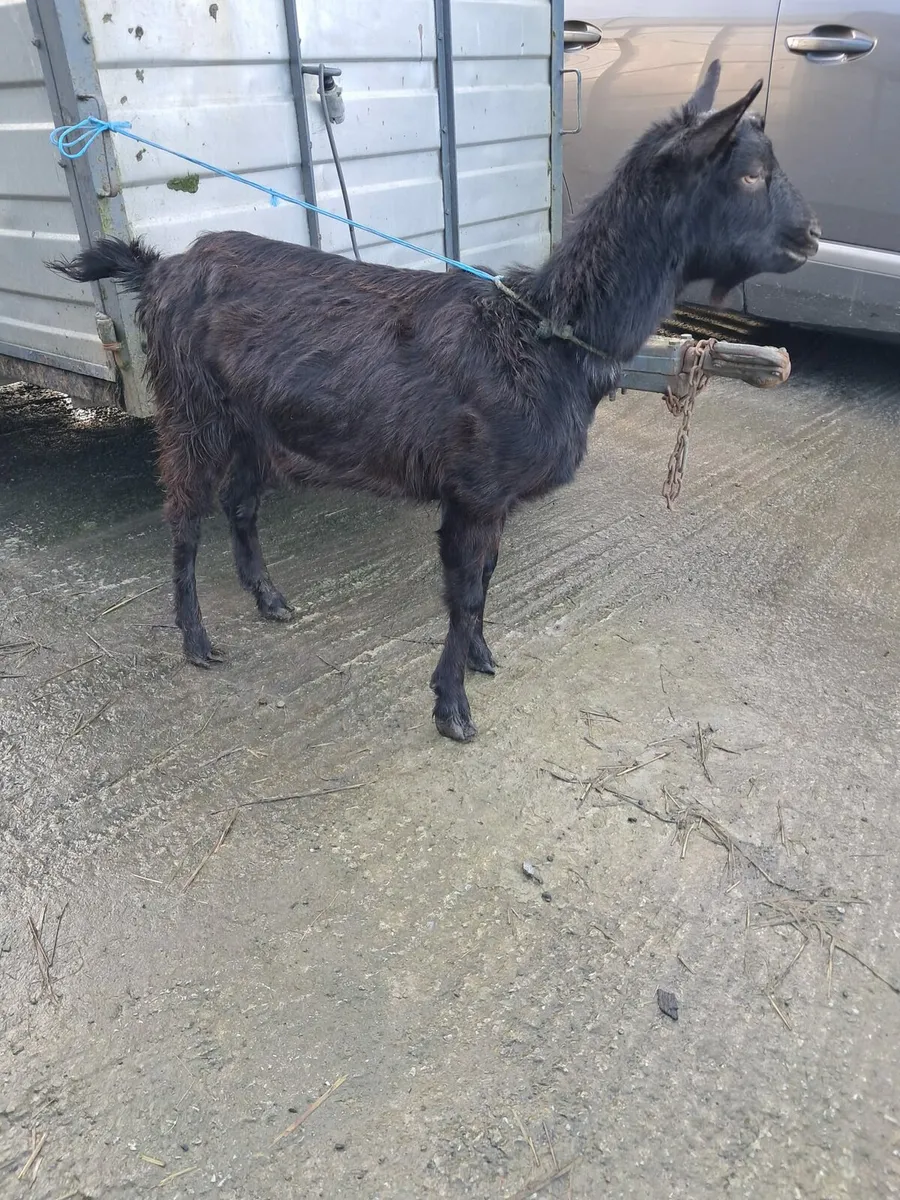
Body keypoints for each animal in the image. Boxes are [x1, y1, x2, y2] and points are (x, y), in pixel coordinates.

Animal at [51, 61, 819, 742]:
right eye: (750, 173)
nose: (808, 237)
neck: (542, 338)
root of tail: (161, 270)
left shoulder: (496, 493)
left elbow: (489, 577)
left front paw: (480, 659)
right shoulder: (473, 487)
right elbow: (466, 590)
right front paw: (452, 708)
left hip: (254, 423)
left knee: (241, 503)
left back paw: (269, 601)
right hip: (191, 408)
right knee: (185, 517)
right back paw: (196, 639)